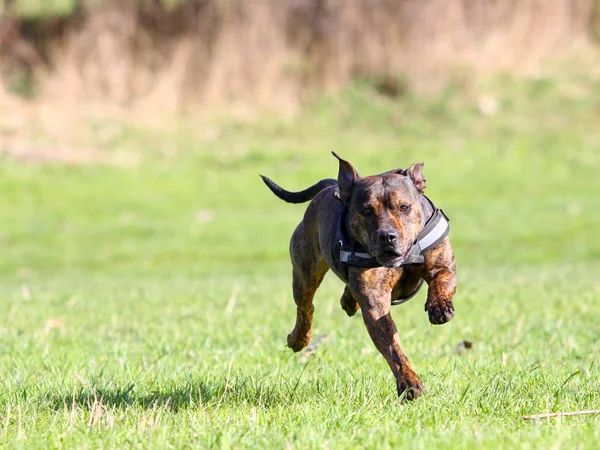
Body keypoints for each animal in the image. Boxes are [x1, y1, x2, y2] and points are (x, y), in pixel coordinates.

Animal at [260, 153, 458, 400]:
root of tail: (332, 186)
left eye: (404, 207)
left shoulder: (442, 265)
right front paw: (409, 383)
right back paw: (298, 339)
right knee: (305, 307)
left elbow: (442, 281)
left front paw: (439, 307)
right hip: (304, 273)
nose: (387, 236)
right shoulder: (375, 302)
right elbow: (392, 347)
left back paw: (348, 301)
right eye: (366, 210)